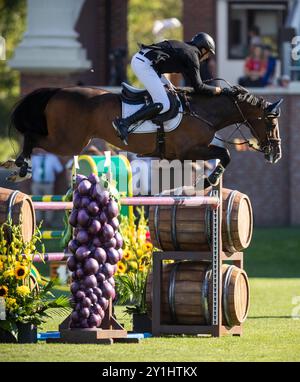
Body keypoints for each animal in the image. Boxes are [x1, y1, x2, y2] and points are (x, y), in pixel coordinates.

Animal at [4, 83, 282, 187]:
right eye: (271, 123)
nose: (276, 154)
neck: (203, 111)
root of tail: (59, 90)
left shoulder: (183, 155)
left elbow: (222, 154)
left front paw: (206, 180)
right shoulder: (188, 151)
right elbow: (225, 154)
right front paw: (208, 181)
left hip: (72, 140)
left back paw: (16, 166)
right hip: (69, 141)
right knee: (33, 138)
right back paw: (20, 167)